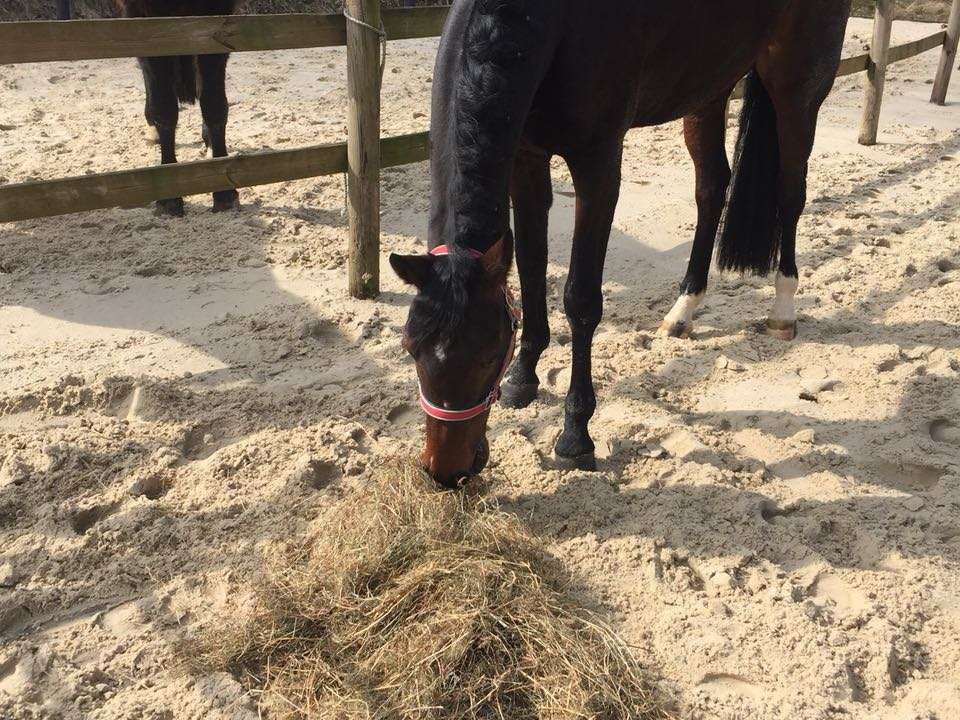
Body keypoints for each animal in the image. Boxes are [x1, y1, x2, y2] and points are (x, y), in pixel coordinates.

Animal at [117, 1, 241, 216]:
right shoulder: (143, 18)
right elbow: (163, 108)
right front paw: (169, 195)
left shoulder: (217, 19)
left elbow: (214, 104)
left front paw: (223, 191)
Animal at [390, 0, 852, 488]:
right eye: (411, 349)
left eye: (487, 353)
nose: (445, 472)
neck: (549, 21)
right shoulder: (526, 160)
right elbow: (532, 269)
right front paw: (523, 377)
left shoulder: (598, 167)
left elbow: (580, 300)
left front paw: (576, 435)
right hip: (710, 86)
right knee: (711, 187)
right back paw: (683, 310)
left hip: (797, 85)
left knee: (790, 191)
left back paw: (783, 309)